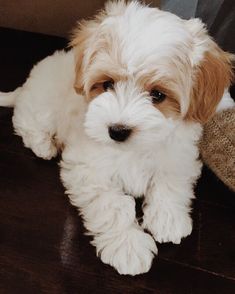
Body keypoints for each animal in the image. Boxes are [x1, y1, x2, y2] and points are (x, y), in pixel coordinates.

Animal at [0, 0, 233, 276]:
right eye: (107, 84)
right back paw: (44, 145)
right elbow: (113, 205)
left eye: (158, 95)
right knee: (25, 124)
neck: (133, 150)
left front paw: (168, 218)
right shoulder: (88, 170)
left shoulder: (178, 156)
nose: (117, 130)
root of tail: (26, 85)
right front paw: (128, 247)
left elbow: (170, 182)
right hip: (42, 107)